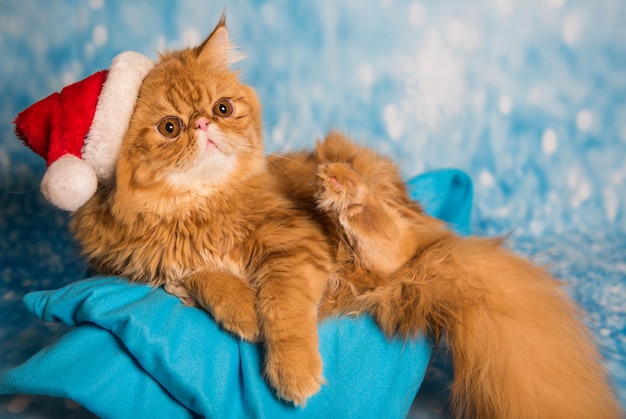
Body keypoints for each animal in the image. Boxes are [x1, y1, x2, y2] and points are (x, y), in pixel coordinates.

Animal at [69, 15, 620, 416]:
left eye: (223, 108)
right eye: (170, 127)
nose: (204, 125)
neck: (201, 208)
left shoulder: (295, 243)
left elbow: (285, 312)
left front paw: (291, 370)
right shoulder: (149, 270)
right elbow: (208, 279)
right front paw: (244, 313)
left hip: (363, 186)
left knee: (393, 247)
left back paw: (344, 195)